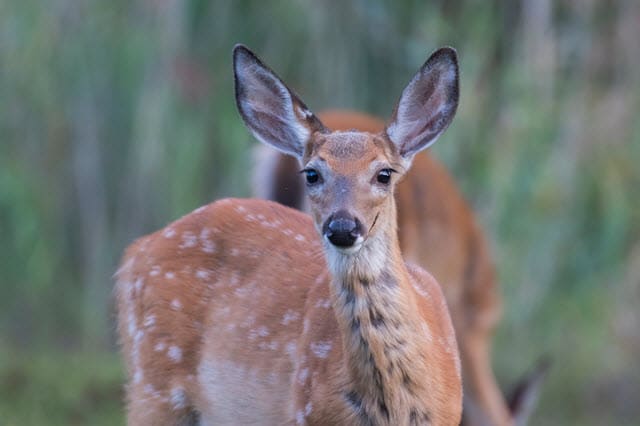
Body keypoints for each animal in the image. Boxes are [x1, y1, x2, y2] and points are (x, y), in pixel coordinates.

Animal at [115, 45, 464, 424]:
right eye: (311, 174)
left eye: (384, 174)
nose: (342, 227)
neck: (394, 404)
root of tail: (135, 252)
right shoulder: (306, 411)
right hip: (152, 381)